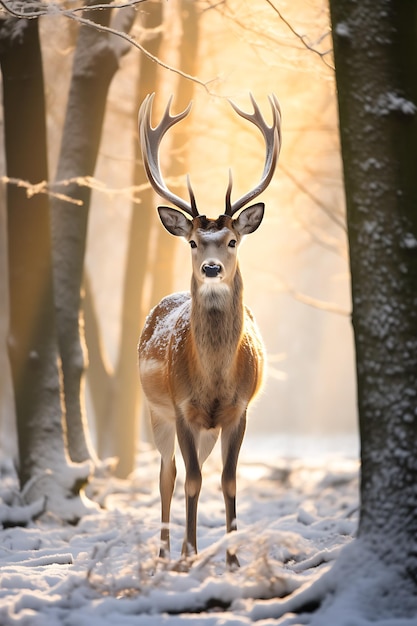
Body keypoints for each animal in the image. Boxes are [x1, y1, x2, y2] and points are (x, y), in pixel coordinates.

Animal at [138, 92, 282, 564]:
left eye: (233, 240)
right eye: (192, 242)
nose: (212, 268)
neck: (215, 378)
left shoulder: (238, 409)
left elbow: (228, 480)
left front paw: (233, 560)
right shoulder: (182, 405)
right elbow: (191, 480)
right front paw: (188, 558)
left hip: (206, 427)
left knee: (190, 471)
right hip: (156, 411)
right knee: (168, 474)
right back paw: (166, 552)